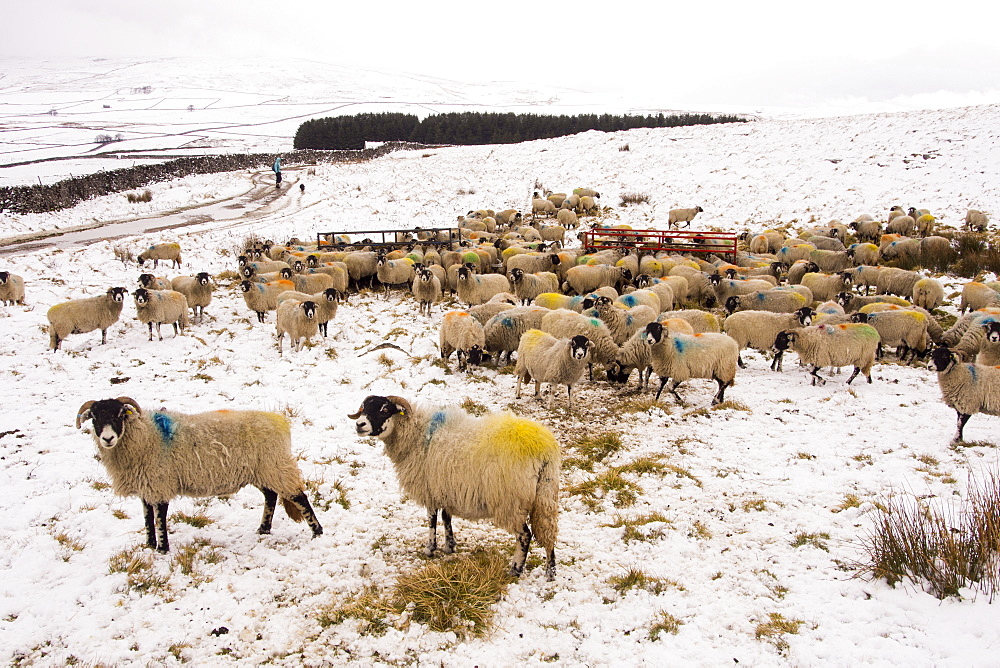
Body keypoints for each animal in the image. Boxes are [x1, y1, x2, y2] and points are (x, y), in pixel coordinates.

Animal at [76, 396, 322, 552]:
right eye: (94, 418)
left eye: (119, 415)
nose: (108, 438)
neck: (147, 436)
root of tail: (280, 421)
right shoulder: (148, 485)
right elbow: (147, 518)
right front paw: (149, 546)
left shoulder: (161, 482)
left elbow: (160, 518)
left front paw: (162, 549)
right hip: (260, 470)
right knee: (271, 496)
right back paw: (263, 530)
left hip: (275, 465)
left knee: (298, 496)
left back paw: (317, 533)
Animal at [350, 396, 564, 580]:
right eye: (363, 408)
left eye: (385, 409)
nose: (359, 425)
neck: (418, 434)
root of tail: (543, 449)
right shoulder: (446, 488)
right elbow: (447, 517)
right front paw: (450, 546)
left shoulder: (430, 489)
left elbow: (432, 520)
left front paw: (430, 549)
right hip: (546, 492)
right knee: (548, 532)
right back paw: (550, 572)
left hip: (511, 501)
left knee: (524, 536)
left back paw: (515, 569)